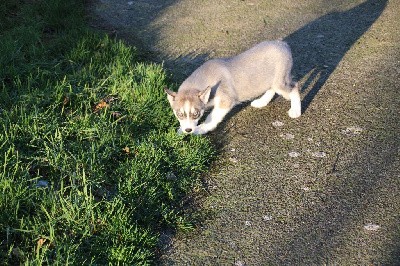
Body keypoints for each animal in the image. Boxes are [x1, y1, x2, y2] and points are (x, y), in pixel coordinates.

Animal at [165, 40, 300, 135]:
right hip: (269, 80)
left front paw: (200, 129)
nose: (188, 130)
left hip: (280, 82)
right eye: (179, 114)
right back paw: (261, 102)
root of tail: (283, 44)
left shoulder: (225, 101)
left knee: (294, 88)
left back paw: (295, 111)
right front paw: (181, 130)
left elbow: (211, 118)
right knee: (271, 89)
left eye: (196, 114)